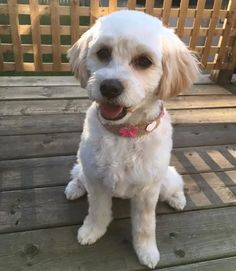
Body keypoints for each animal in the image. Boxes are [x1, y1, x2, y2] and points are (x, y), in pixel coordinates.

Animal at [65, 10, 199, 270]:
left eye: (144, 61)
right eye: (103, 53)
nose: (109, 87)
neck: (124, 133)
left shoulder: (147, 191)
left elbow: (145, 226)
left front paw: (146, 251)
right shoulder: (96, 180)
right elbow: (97, 211)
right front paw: (92, 231)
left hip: (165, 179)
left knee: (175, 184)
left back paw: (177, 199)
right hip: (84, 168)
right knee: (77, 175)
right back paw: (74, 188)